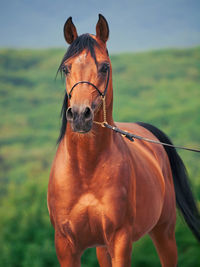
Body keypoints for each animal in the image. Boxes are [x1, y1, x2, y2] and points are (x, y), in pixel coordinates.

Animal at [47, 15, 200, 267]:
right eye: (66, 68)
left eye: (104, 67)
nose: (79, 115)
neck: (85, 170)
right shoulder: (66, 245)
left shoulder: (120, 240)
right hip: (102, 247)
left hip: (164, 232)